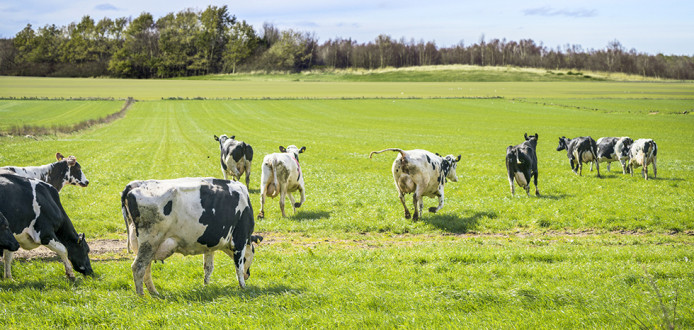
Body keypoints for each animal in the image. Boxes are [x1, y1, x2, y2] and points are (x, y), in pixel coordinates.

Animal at [121, 177, 262, 296]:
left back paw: (154, 294)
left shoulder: (210, 244)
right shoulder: (240, 239)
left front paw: (206, 287)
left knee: (146, 269)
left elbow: (208, 267)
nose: (248, 275)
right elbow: (238, 266)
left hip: (146, 245)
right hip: (150, 241)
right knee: (138, 267)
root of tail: (136, 184)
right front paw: (243, 286)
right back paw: (141, 296)